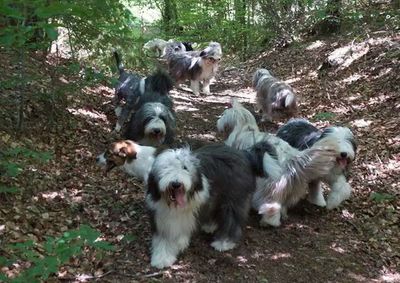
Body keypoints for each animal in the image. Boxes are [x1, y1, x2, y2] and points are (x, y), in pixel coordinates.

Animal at [216, 100, 340, 229]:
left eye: (224, 114)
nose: (218, 121)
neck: (245, 129)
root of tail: (292, 160)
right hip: (290, 188)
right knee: (283, 205)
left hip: (270, 188)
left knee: (272, 208)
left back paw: (267, 222)